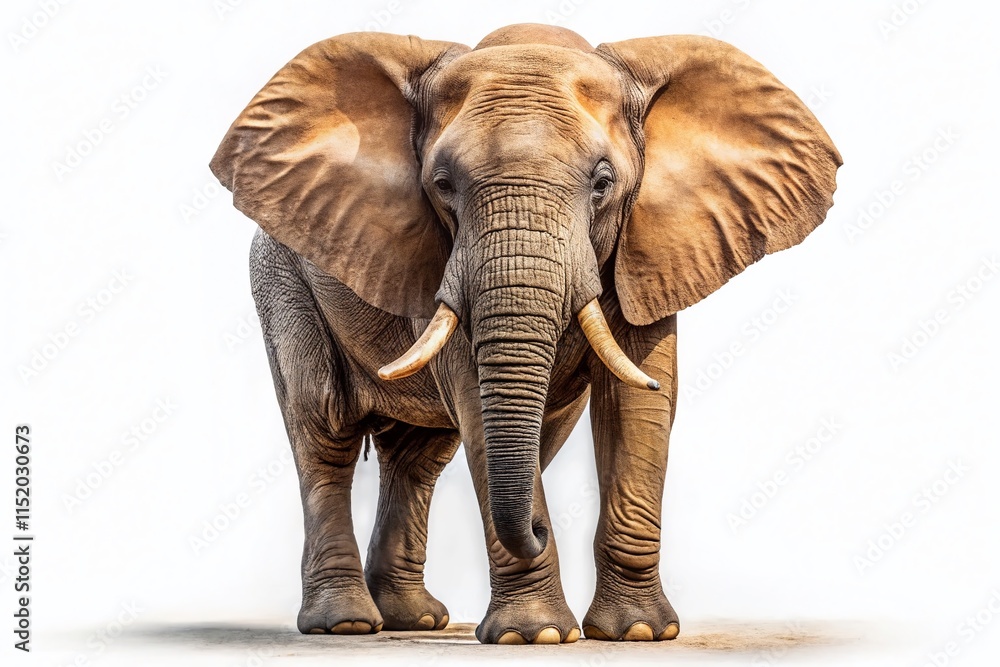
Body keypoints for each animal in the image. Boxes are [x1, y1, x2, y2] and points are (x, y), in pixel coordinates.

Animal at [210, 23, 840, 645]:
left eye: (603, 183)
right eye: (442, 185)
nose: (536, 526)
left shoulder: (650, 247)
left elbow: (640, 400)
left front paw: (638, 632)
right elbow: (476, 404)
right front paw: (532, 635)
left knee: (419, 457)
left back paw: (414, 619)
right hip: (280, 283)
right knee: (324, 432)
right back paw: (345, 622)